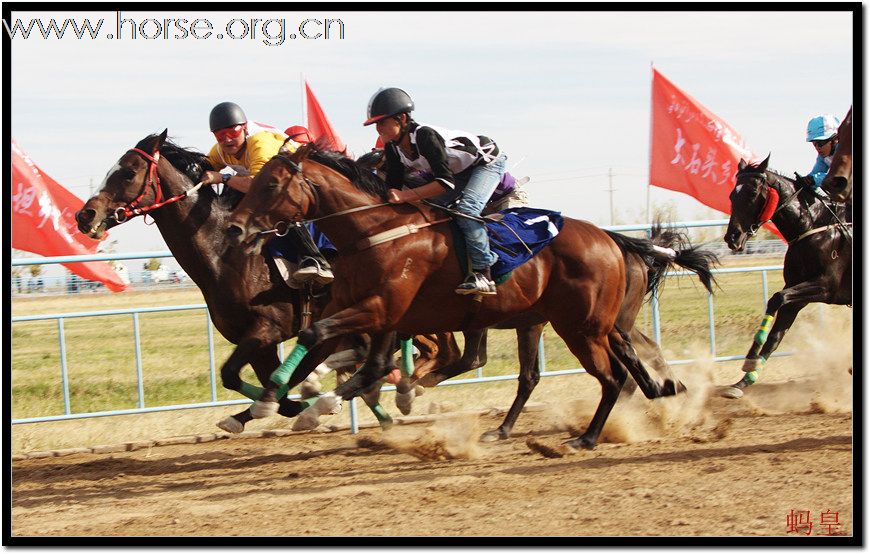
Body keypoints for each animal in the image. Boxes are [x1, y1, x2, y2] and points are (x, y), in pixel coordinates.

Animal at [225, 143, 696, 448]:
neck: (372, 233)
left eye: (271, 186)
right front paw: (285, 401)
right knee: (542, 374)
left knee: (612, 376)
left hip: (582, 327)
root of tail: (612, 240)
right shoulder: (372, 313)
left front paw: (290, 402)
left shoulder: (378, 310)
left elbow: (319, 340)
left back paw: (590, 436)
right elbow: (350, 361)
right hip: (559, 322)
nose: (234, 228)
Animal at [724, 155, 852, 396]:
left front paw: (750, 360)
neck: (811, 227)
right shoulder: (797, 291)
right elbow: (776, 335)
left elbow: (777, 298)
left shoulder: (825, 286)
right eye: (732, 195)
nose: (732, 237)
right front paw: (744, 379)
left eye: (752, 193)